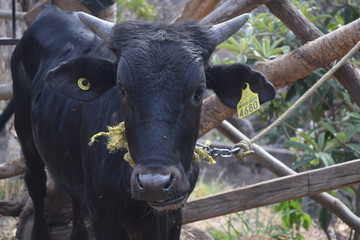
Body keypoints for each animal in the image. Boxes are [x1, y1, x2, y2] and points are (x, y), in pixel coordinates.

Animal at [11, 5, 276, 240]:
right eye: (122, 89)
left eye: (199, 91)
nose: (154, 183)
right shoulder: (103, 217)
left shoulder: (173, 216)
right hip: (25, 135)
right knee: (36, 185)